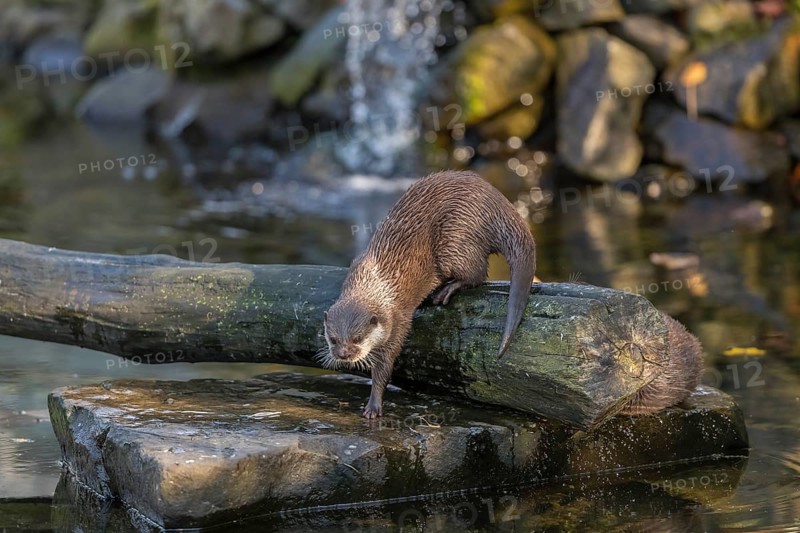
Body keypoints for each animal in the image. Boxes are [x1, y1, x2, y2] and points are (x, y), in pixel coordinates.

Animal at [321, 170, 536, 418]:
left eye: (357, 338)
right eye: (333, 339)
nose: (343, 354)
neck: (374, 282)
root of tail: (497, 203)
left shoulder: (397, 319)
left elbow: (385, 364)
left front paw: (374, 404)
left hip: (456, 236)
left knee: (478, 273)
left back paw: (446, 289)